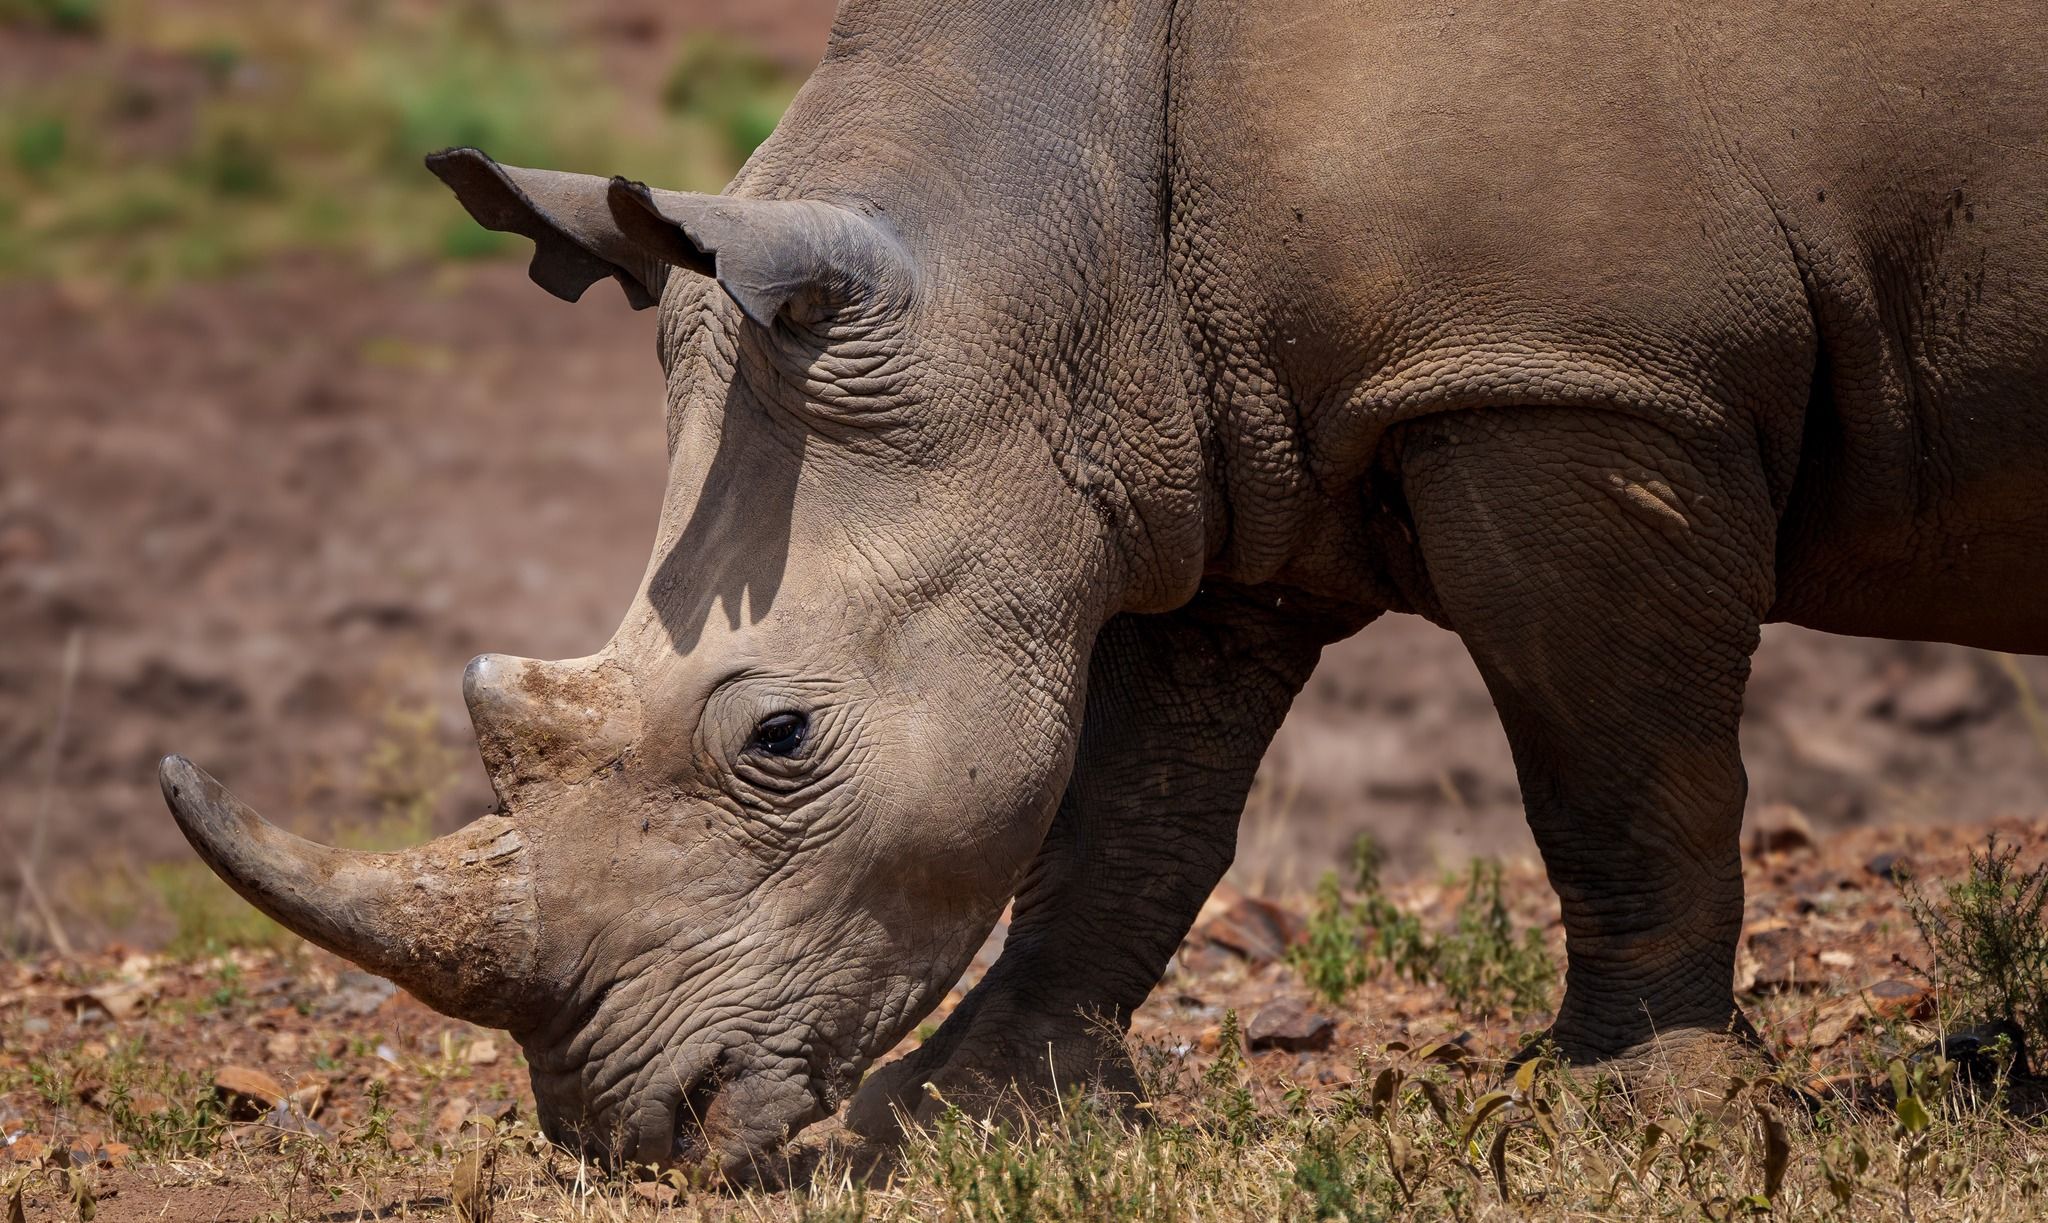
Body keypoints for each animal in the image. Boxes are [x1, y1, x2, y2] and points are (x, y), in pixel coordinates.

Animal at [160, 0, 2047, 1175]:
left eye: (777, 739)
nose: (631, 1127)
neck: (1036, 226)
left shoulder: (1575, 377)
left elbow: (1617, 767)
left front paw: (1629, 1116)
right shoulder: (1201, 432)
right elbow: (1129, 805)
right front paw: (964, 1115)